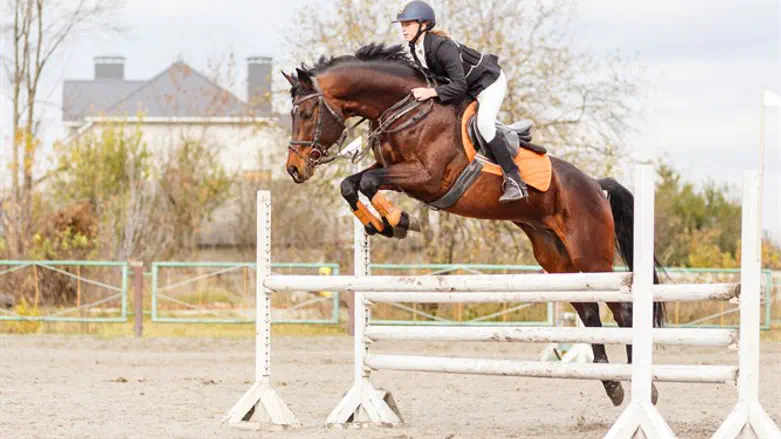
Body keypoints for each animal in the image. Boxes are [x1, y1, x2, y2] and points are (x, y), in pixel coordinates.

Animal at [281, 43, 665, 407]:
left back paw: (643, 387)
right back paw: (611, 382)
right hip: (556, 258)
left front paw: (397, 221)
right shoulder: (396, 171)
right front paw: (391, 224)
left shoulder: (427, 177)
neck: (407, 111)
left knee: (624, 311)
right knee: (588, 309)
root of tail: (596, 185)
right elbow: (353, 183)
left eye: (306, 113)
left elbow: (369, 182)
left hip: (590, 255)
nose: (294, 169)